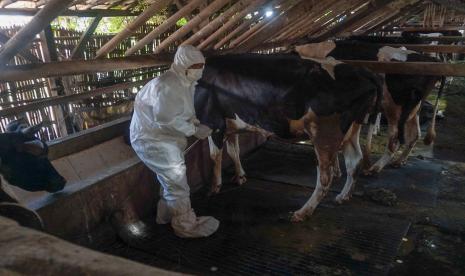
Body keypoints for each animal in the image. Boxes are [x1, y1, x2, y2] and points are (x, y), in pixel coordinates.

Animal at [296, 40, 444, 175]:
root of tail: (431, 60)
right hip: (415, 107)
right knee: (415, 134)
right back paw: (398, 161)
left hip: (393, 107)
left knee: (394, 139)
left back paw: (375, 168)